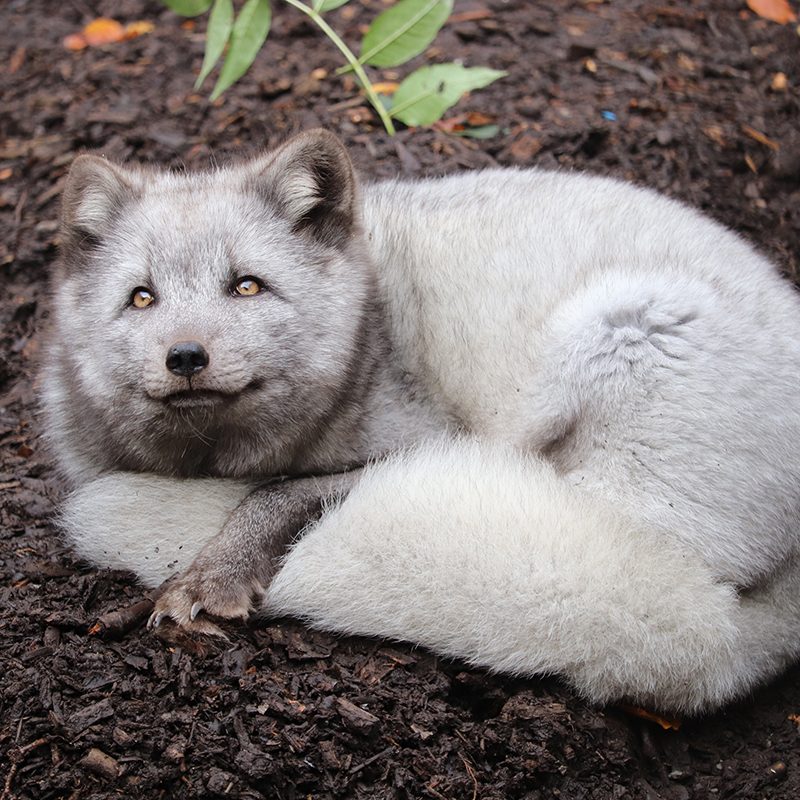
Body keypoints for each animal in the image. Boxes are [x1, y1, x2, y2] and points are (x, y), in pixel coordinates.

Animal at [43, 128, 800, 716]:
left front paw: (213, 573)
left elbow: (278, 490)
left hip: (618, 334)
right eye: (142, 297)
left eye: (247, 285)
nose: (185, 357)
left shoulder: (429, 439)